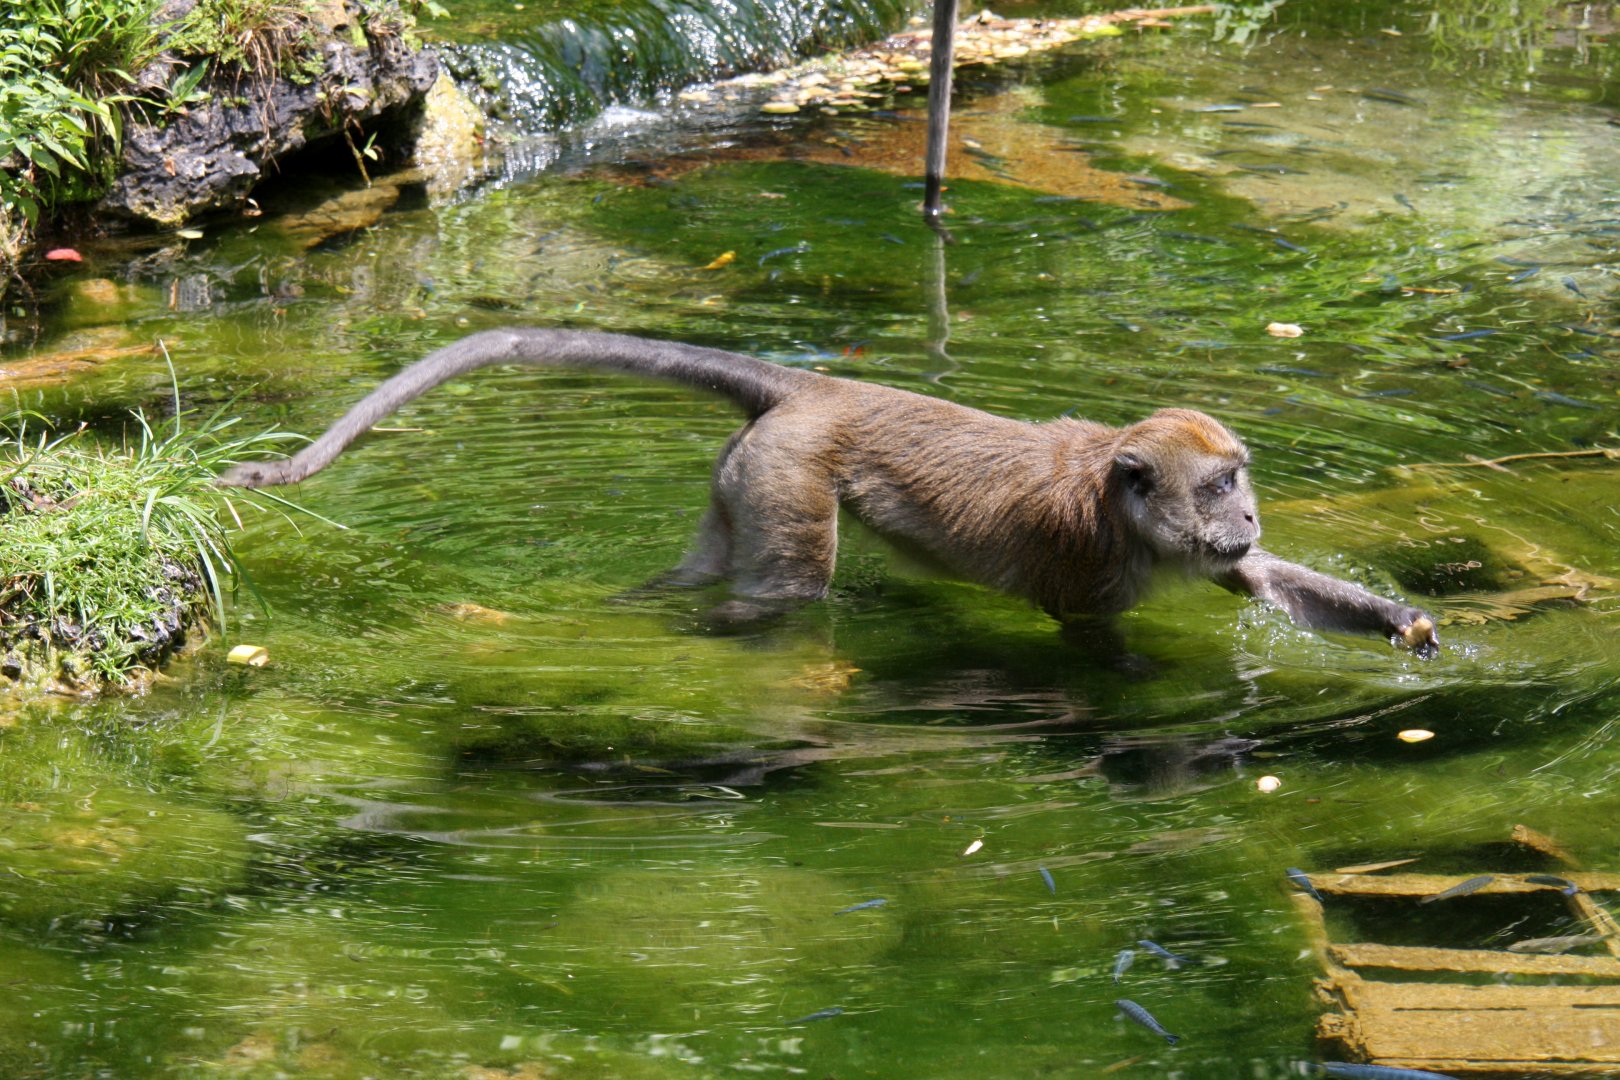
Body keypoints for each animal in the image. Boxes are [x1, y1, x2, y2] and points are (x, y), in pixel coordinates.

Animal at [218, 328, 1440, 658]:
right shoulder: (1094, 566)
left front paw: (1404, 623)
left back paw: (646, 611)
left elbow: (1268, 590)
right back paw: (707, 634)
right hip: (793, 475)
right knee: (786, 593)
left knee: (712, 567)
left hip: (748, 472)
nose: (1248, 517)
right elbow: (1088, 645)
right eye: (1220, 486)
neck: (1133, 517)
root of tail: (814, 387)